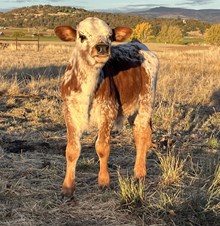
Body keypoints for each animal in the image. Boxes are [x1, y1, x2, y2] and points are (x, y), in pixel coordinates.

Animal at [54, 16, 158, 196]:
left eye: (110, 36)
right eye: (82, 36)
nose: (102, 47)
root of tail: (138, 44)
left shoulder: (108, 112)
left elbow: (102, 147)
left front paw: (104, 181)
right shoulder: (70, 113)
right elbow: (72, 150)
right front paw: (67, 187)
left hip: (146, 101)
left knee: (142, 133)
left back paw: (139, 172)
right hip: (133, 109)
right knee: (139, 133)